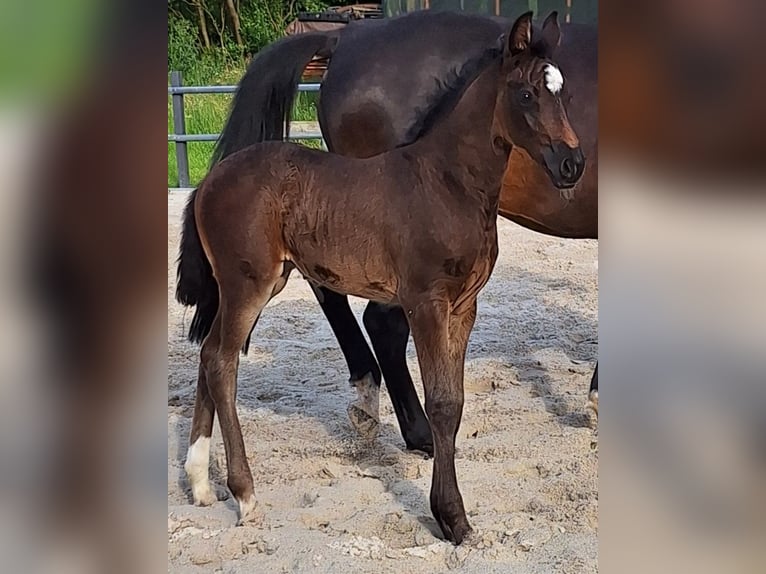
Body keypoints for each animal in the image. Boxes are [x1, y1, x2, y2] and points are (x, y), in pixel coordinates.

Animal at [177, 12, 584, 544]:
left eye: (561, 91)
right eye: (527, 93)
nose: (572, 164)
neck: (446, 182)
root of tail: (208, 181)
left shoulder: (464, 306)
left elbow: (454, 406)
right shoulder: (426, 302)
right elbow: (441, 402)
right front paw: (452, 517)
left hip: (257, 282)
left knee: (208, 353)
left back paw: (201, 483)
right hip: (249, 284)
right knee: (223, 362)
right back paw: (244, 496)